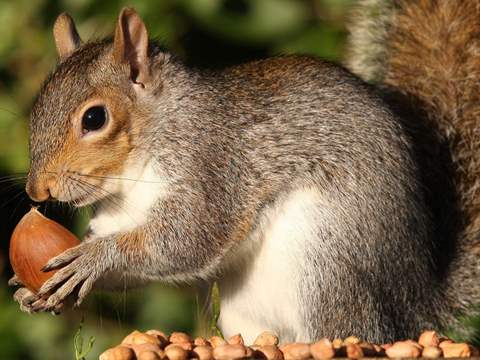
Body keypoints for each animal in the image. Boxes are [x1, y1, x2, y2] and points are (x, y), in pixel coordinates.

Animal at [7, 1, 480, 344]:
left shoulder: (214, 168)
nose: (37, 191)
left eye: (94, 118)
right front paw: (32, 291)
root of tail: (416, 305)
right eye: (38, 106)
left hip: (328, 265)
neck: (130, 182)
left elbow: (187, 240)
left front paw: (94, 258)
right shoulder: (114, 217)